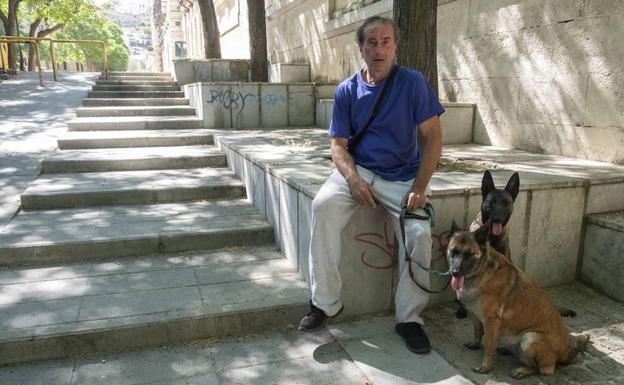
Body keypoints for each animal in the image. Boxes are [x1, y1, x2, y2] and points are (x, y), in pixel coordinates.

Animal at [446, 222, 588, 378]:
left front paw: (485, 367)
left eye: (468, 254)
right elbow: (477, 331)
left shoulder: (491, 321)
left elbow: (489, 347)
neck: (481, 271)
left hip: (529, 338)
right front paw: (475, 344)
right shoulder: (475, 314)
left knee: (544, 370)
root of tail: (567, 351)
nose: (454, 272)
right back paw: (507, 350)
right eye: (453, 252)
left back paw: (522, 371)